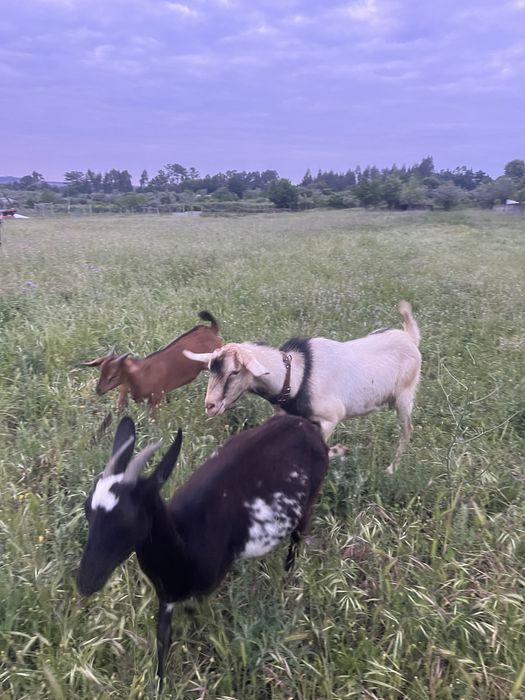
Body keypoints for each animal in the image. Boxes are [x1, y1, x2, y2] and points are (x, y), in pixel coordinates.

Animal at [77, 414, 328, 685]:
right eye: (87, 508)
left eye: (127, 518)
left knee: (295, 543)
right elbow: (163, 636)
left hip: (308, 504)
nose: (86, 582)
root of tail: (304, 424)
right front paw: (160, 683)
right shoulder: (167, 594)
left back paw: (285, 586)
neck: (185, 544)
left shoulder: (202, 590)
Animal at [80, 311, 222, 415]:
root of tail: (211, 329)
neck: (140, 374)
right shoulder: (125, 394)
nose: (98, 390)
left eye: (114, 375)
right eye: (101, 371)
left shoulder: (155, 398)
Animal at [184, 301, 421, 473]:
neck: (294, 375)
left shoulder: (329, 419)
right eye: (210, 369)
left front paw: (341, 451)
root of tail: (410, 338)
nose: (210, 405)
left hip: (404, 396)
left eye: (235, 371)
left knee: (407, 429)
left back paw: (391, 469)